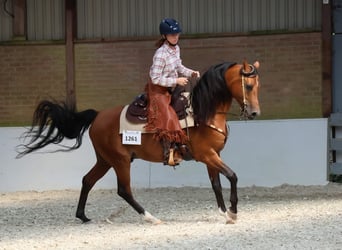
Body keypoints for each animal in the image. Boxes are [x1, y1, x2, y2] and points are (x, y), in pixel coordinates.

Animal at [17, 60, 260, 225]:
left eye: (257, 85)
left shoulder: (213, 156)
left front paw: (225, 214)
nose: (255, 112)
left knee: (88, 180)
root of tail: (98, 116)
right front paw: (234, 211)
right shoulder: (207, 155)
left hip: (105, 160)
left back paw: (83, 216)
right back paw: (151, 217)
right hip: (120, 161)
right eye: (248, 86)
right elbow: (232, 176)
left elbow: (216, 184)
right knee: (124, 190)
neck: (203, 113)